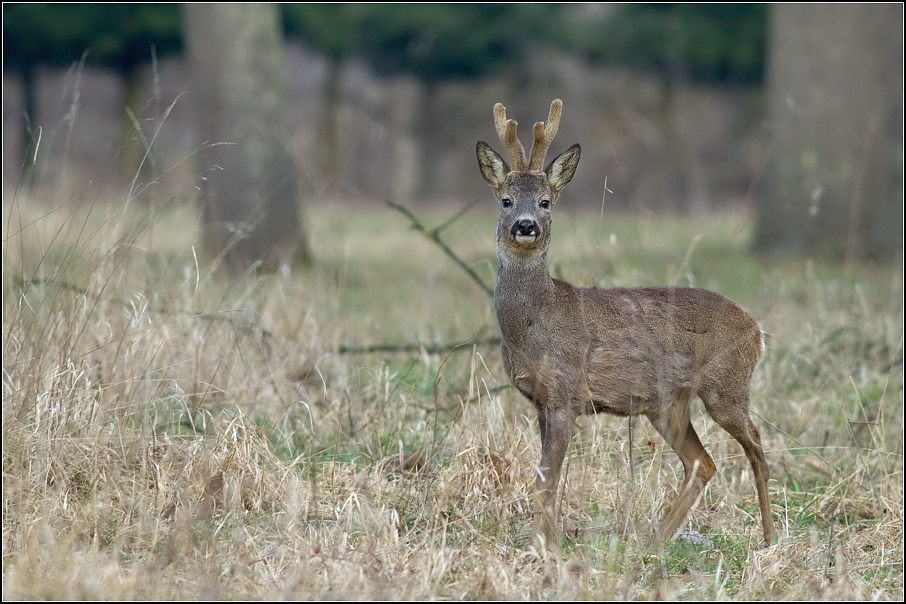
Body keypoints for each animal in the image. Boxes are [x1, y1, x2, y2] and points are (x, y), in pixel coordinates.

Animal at [474, 99, 776, 548]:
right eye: (506, 200)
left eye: (546, 201)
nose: (525, 226)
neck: (534, 325)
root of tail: (757, 330)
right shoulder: (540, 402)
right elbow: (545, 479)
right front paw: (548, 540)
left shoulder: (565, 394)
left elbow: (547, 481)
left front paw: (541, 546)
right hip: (668, 404)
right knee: (702, 463)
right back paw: (655, 539)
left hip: (727, 386)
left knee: (756, 447)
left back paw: (770, 537)